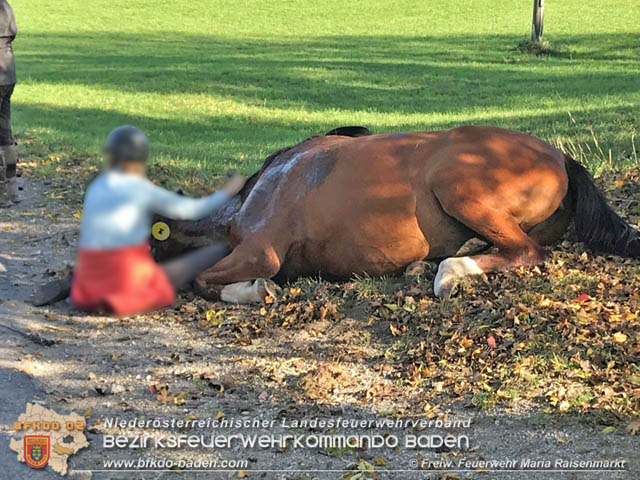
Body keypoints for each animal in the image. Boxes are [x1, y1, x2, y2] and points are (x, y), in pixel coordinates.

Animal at [151, 125, 640, 302]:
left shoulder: (261, 250)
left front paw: (255, 291)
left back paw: (448, 272)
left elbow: (206, 281)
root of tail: (561, 158)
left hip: (458, 188)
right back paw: (425, 265)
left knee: (524, 252)